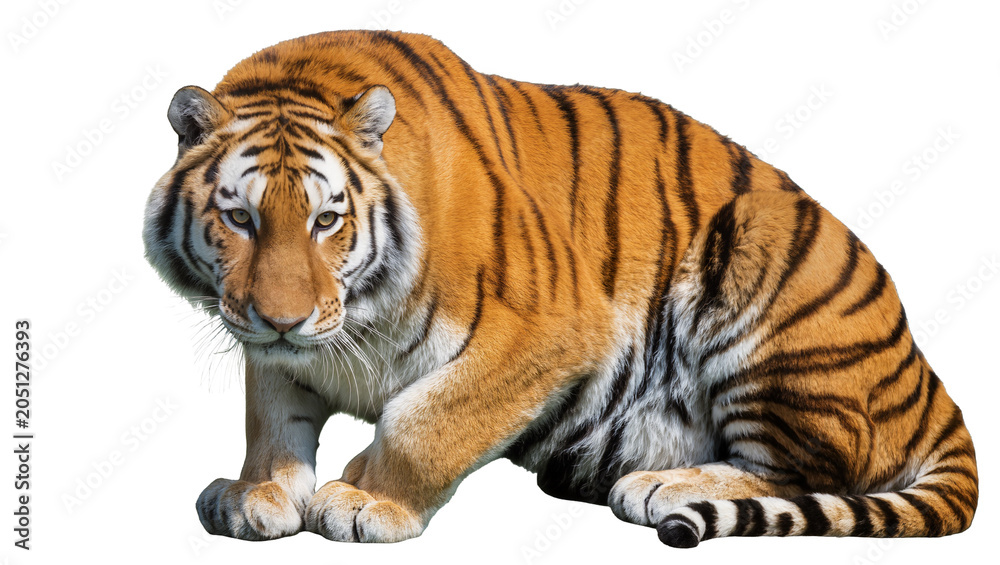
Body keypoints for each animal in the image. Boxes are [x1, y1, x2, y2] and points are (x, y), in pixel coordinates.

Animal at [142, 30, 978, 547]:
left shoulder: (552, 330)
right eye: (240, 217)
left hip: (765, 267)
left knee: (812, 467)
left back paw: (664, 485)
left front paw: (365, 501)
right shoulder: (275, 344)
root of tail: (926, 375)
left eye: (326, 220)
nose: (282, 318)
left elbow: (425, 418)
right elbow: (272, 414)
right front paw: (258, 493)